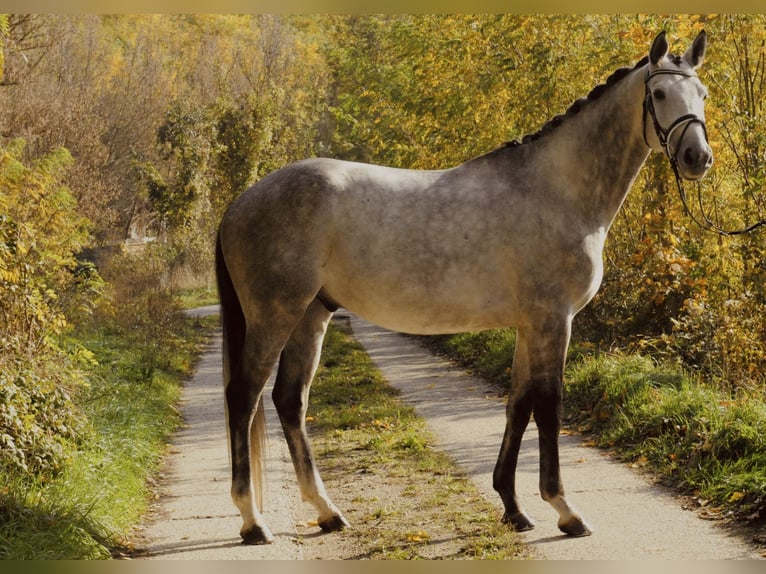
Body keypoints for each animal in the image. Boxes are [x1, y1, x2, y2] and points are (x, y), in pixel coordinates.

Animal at [216, 30, 712, 544]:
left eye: (703, 95)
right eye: (659, 94)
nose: (698, 158)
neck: (556, 190)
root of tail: (239, 203)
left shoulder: (529, 326)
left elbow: (518, 405)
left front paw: (513, 507)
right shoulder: (553, 321)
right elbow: (548, 407)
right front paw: (564, 509)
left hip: (311, 315)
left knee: (289, 400)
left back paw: (327, 511)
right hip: (275, 315)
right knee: (245, 397)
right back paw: (253, 521)